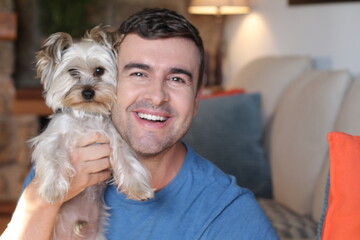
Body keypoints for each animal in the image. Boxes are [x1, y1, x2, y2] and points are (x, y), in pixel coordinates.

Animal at [30, 25, 153, 239]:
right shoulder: (52, 139)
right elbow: (53, 159)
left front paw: (138, 188)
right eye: (72, 72)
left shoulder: (114, 138)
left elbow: (126, 160)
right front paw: (52, 190)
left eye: (99, 71)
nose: (87, 92)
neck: (87, 116)